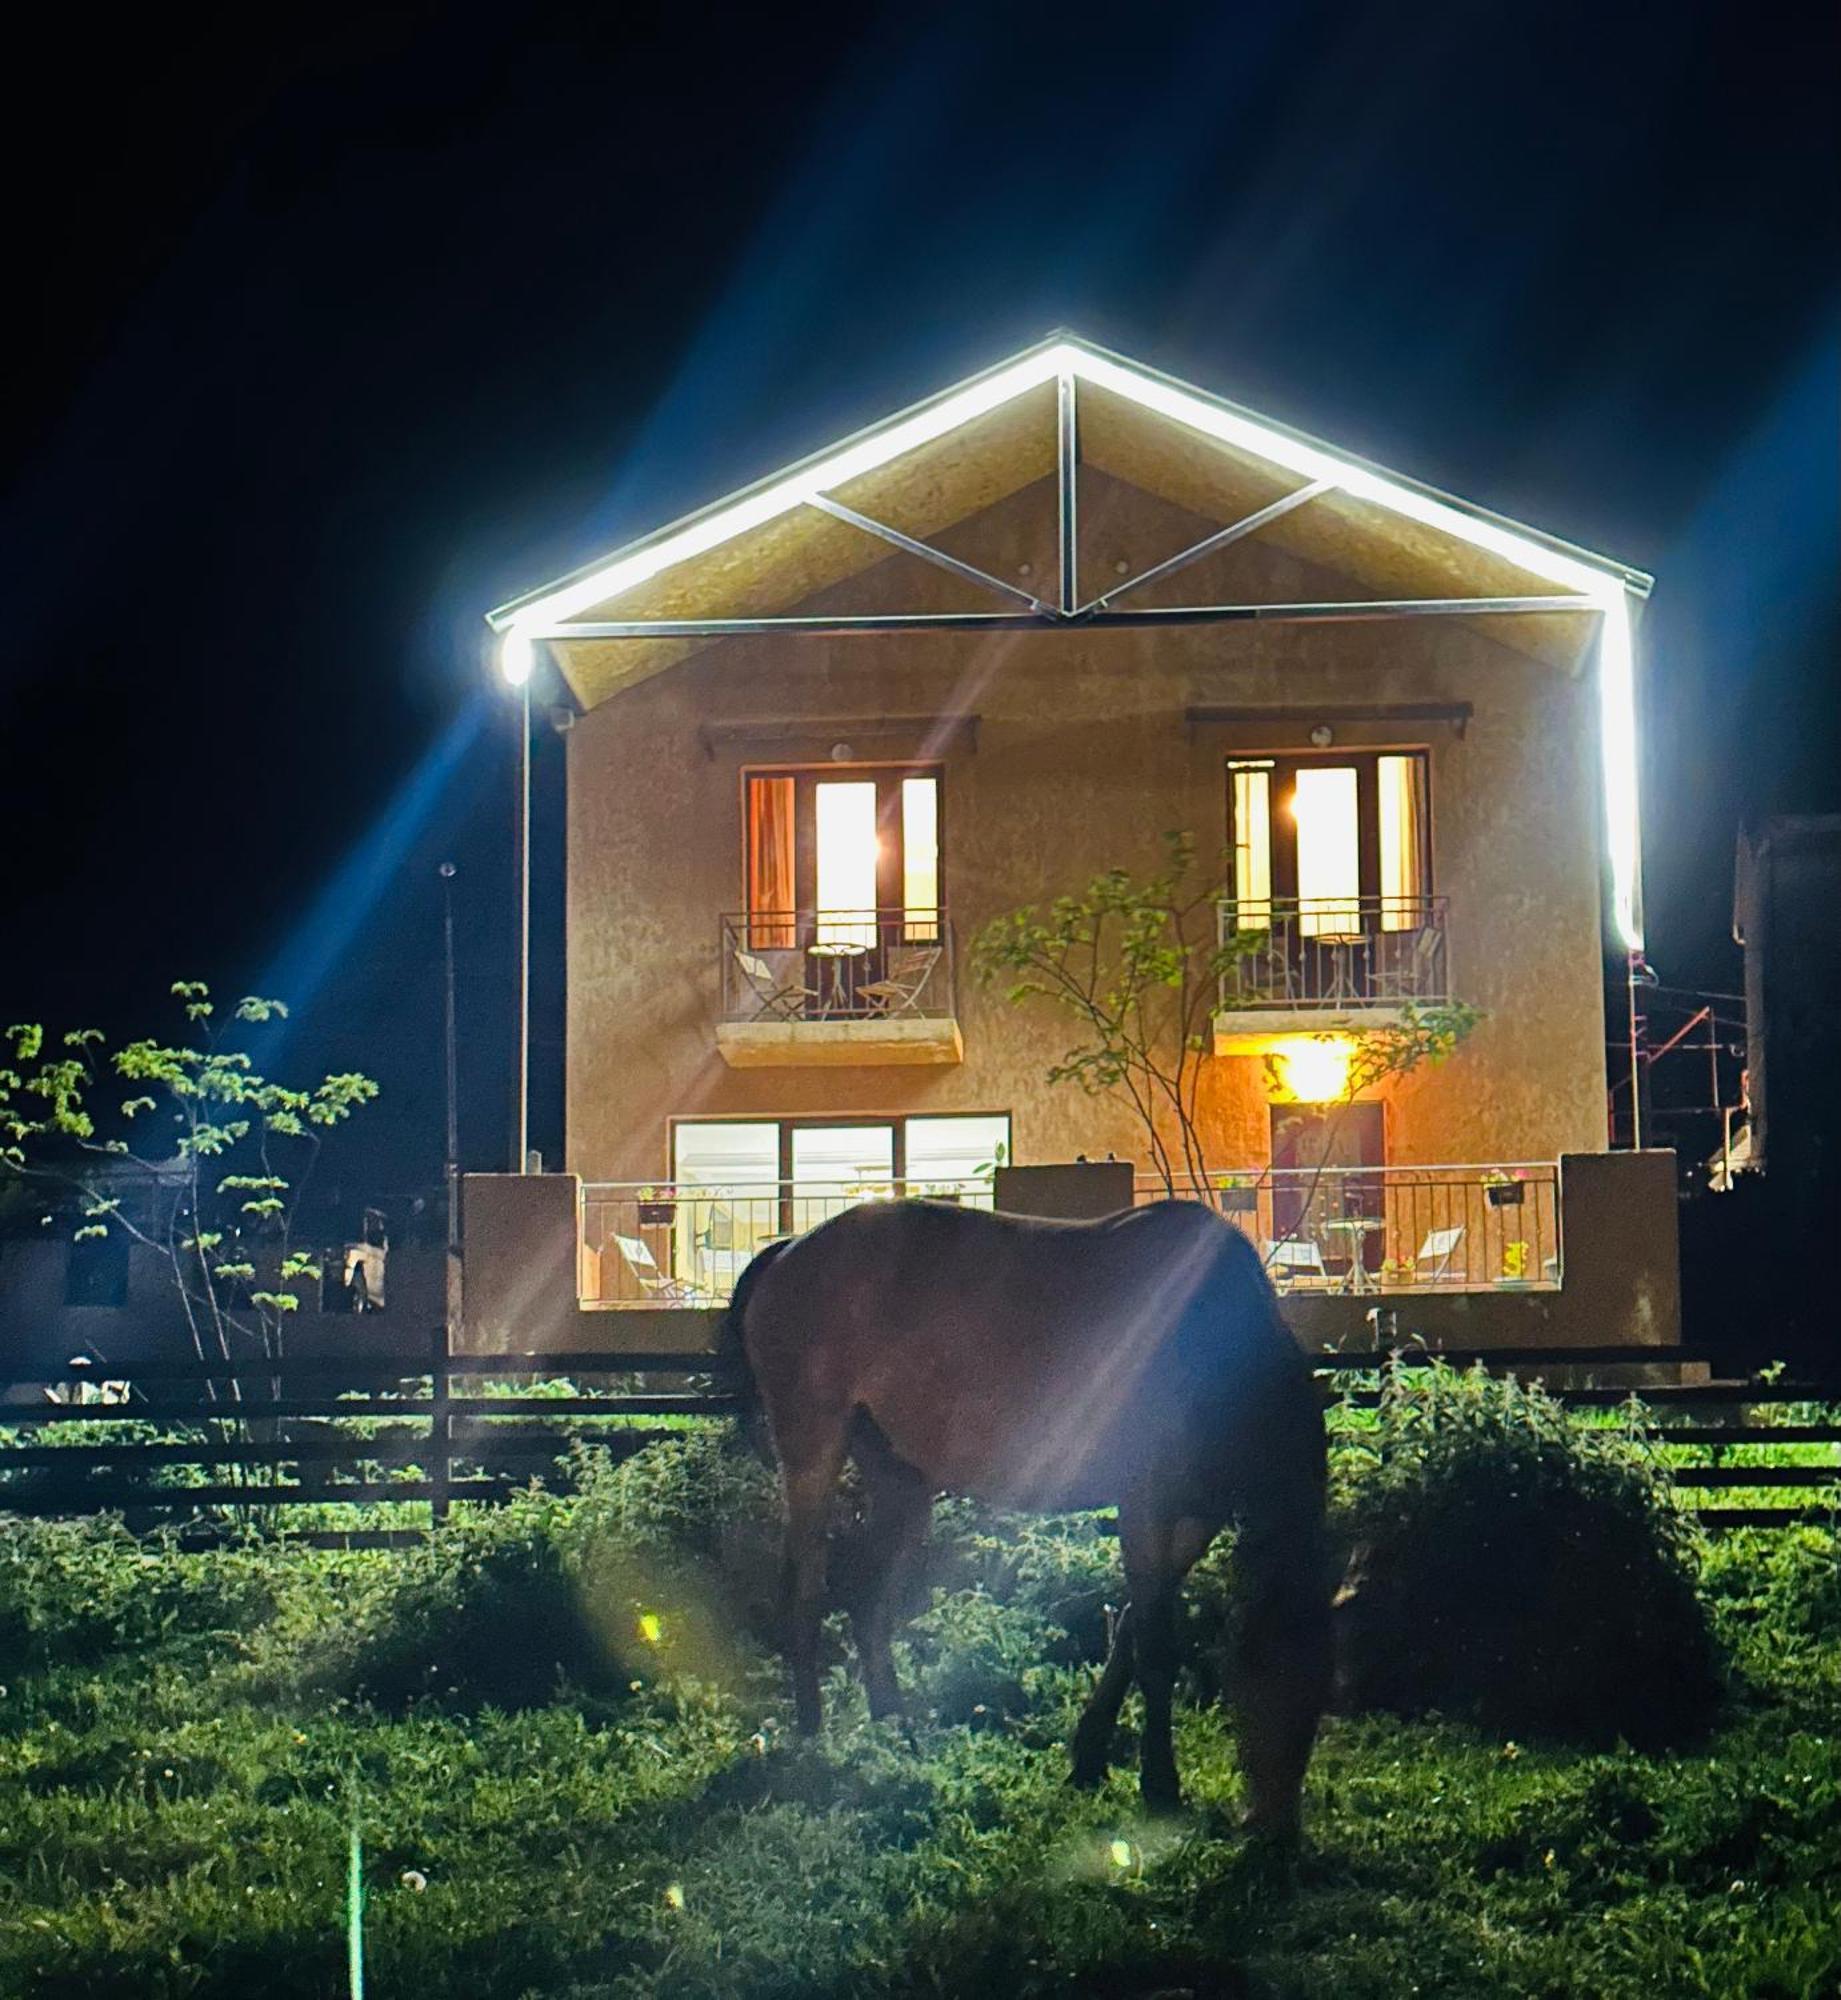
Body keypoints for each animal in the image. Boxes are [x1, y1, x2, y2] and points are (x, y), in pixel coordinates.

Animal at [724, 1192, 1328, 1832]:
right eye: (1262, 1679)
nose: (1274, 1827)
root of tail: (789, 1249)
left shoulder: (1195, 1519)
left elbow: (1131, 1631)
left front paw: (1090, 1753)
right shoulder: (1147, 1504)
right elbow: (1155, 1647)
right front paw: (1159, 1782)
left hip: (900, 1482)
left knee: (867, 1602)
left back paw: (896, 1734)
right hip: (813, 1453)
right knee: (805, 1593)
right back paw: (815, 1741)